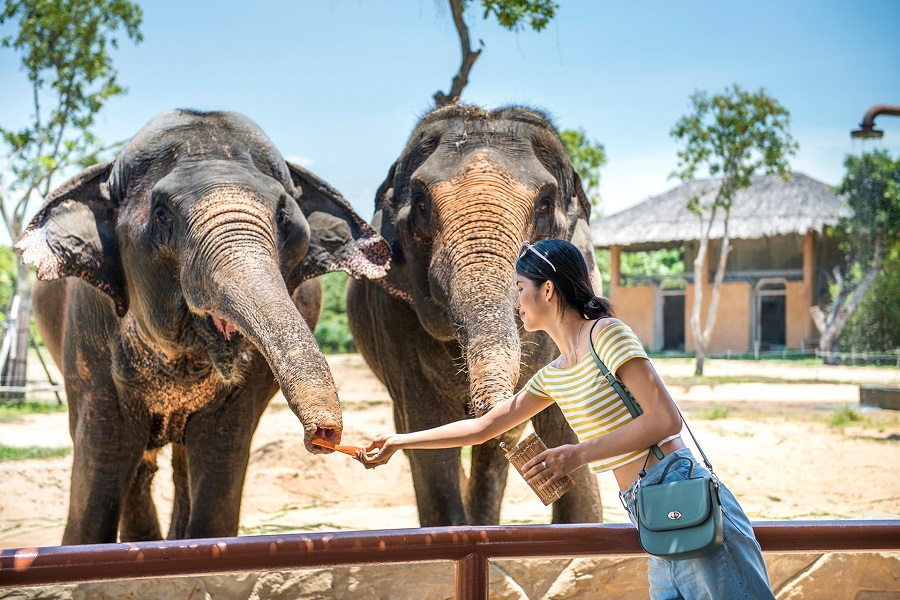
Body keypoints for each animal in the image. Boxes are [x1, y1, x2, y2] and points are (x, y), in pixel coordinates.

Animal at [16, 108, 390, 544]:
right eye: (163, 214)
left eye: (285, 219)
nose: (324, 434)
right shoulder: (88, 329)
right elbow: (105, 456)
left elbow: (220, 456)